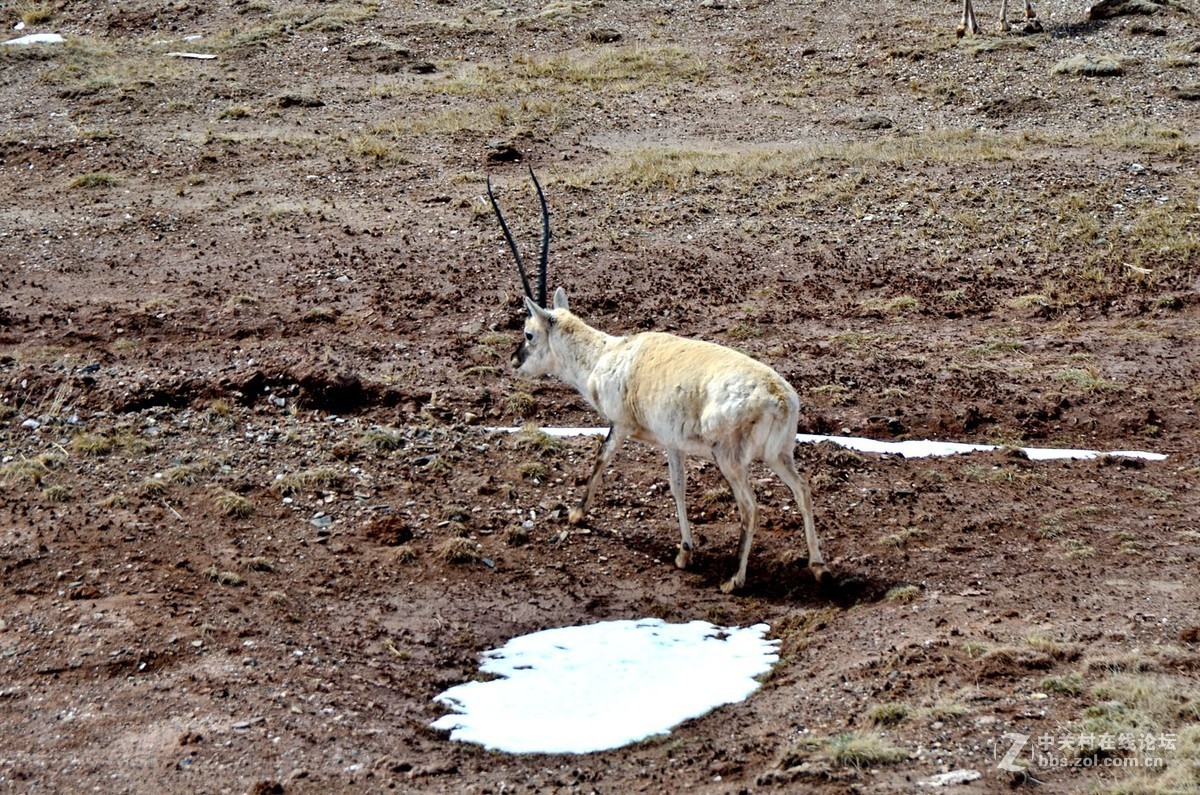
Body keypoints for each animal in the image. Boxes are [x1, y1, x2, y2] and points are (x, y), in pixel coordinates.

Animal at [484, 169, 825, 590]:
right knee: (804, 491)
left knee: (750, 507)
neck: (606, 354)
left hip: (730, 459)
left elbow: (602, 456)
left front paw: (577, 514)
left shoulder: (620, 424)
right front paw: (684, 552)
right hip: (779, 455)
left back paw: (734, 580)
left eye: (529, 333)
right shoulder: (672, 443)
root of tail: (779, 398)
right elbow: (678, 487)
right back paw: (818, 567)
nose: (514, 360)